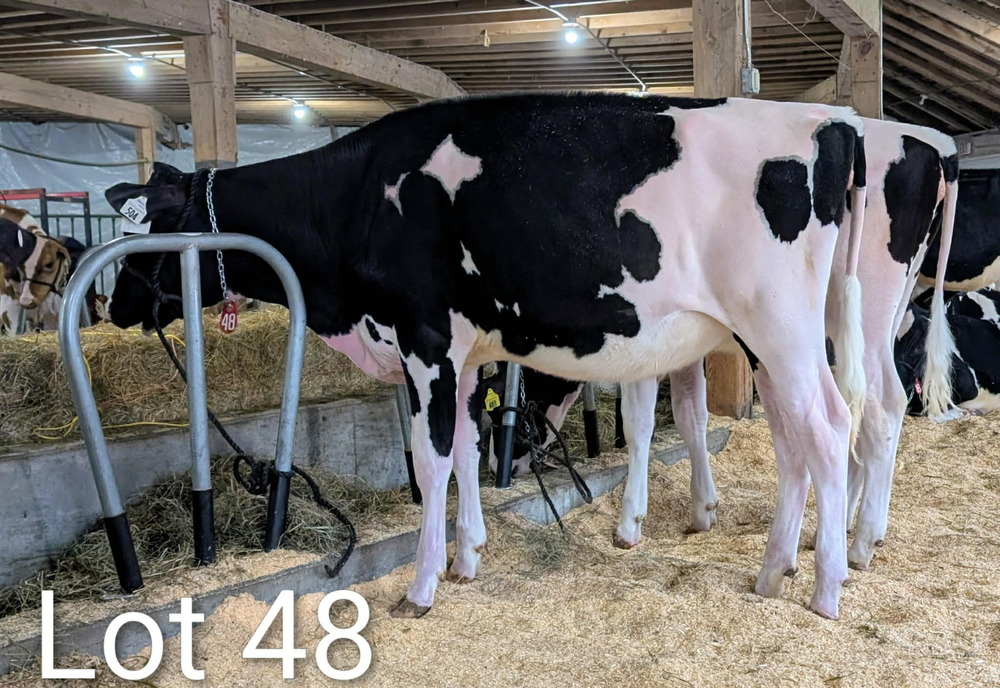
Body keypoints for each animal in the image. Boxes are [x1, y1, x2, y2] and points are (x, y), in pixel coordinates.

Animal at [104, 93, 868, 620]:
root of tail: (832, 123)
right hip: (773, 341)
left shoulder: (426, 340)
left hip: (780, 328)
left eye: (145, 232)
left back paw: (826, 589)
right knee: (794, 440)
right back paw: (772, 572)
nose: (113, 307)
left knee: (829, 430)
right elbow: (469, 449)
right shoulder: (467, 353)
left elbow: (432, 457)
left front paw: (421, 587)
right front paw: (467, 555)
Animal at [609, 117, 959, 580]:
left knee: (880, 405)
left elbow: (640, 421)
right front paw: (703, 508)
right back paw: (847, 527)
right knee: (871, 406)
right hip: (885, 314)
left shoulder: (647, 332)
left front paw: (630, 522)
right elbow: (690, 412)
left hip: (858, 312)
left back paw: (859, 543)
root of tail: (931, 149)